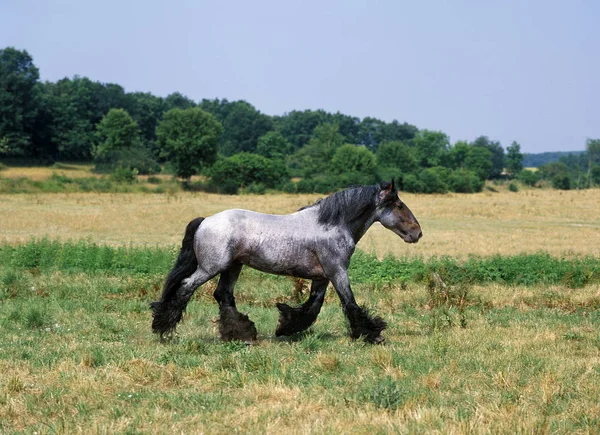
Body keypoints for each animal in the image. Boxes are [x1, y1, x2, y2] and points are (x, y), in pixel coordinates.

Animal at [150, 180, 422, 344]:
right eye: (399, 205)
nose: (417, 233)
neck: (332, 224)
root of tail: (205, 220)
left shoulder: (322, 277)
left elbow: (312, 307)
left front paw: (285, 327)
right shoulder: (337, 272)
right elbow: (350, 303)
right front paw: (372, 334)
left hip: (232, 267)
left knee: (223, 295)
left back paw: (243, 334)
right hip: (210, 268)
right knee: (185, 287)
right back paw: (163, 327)